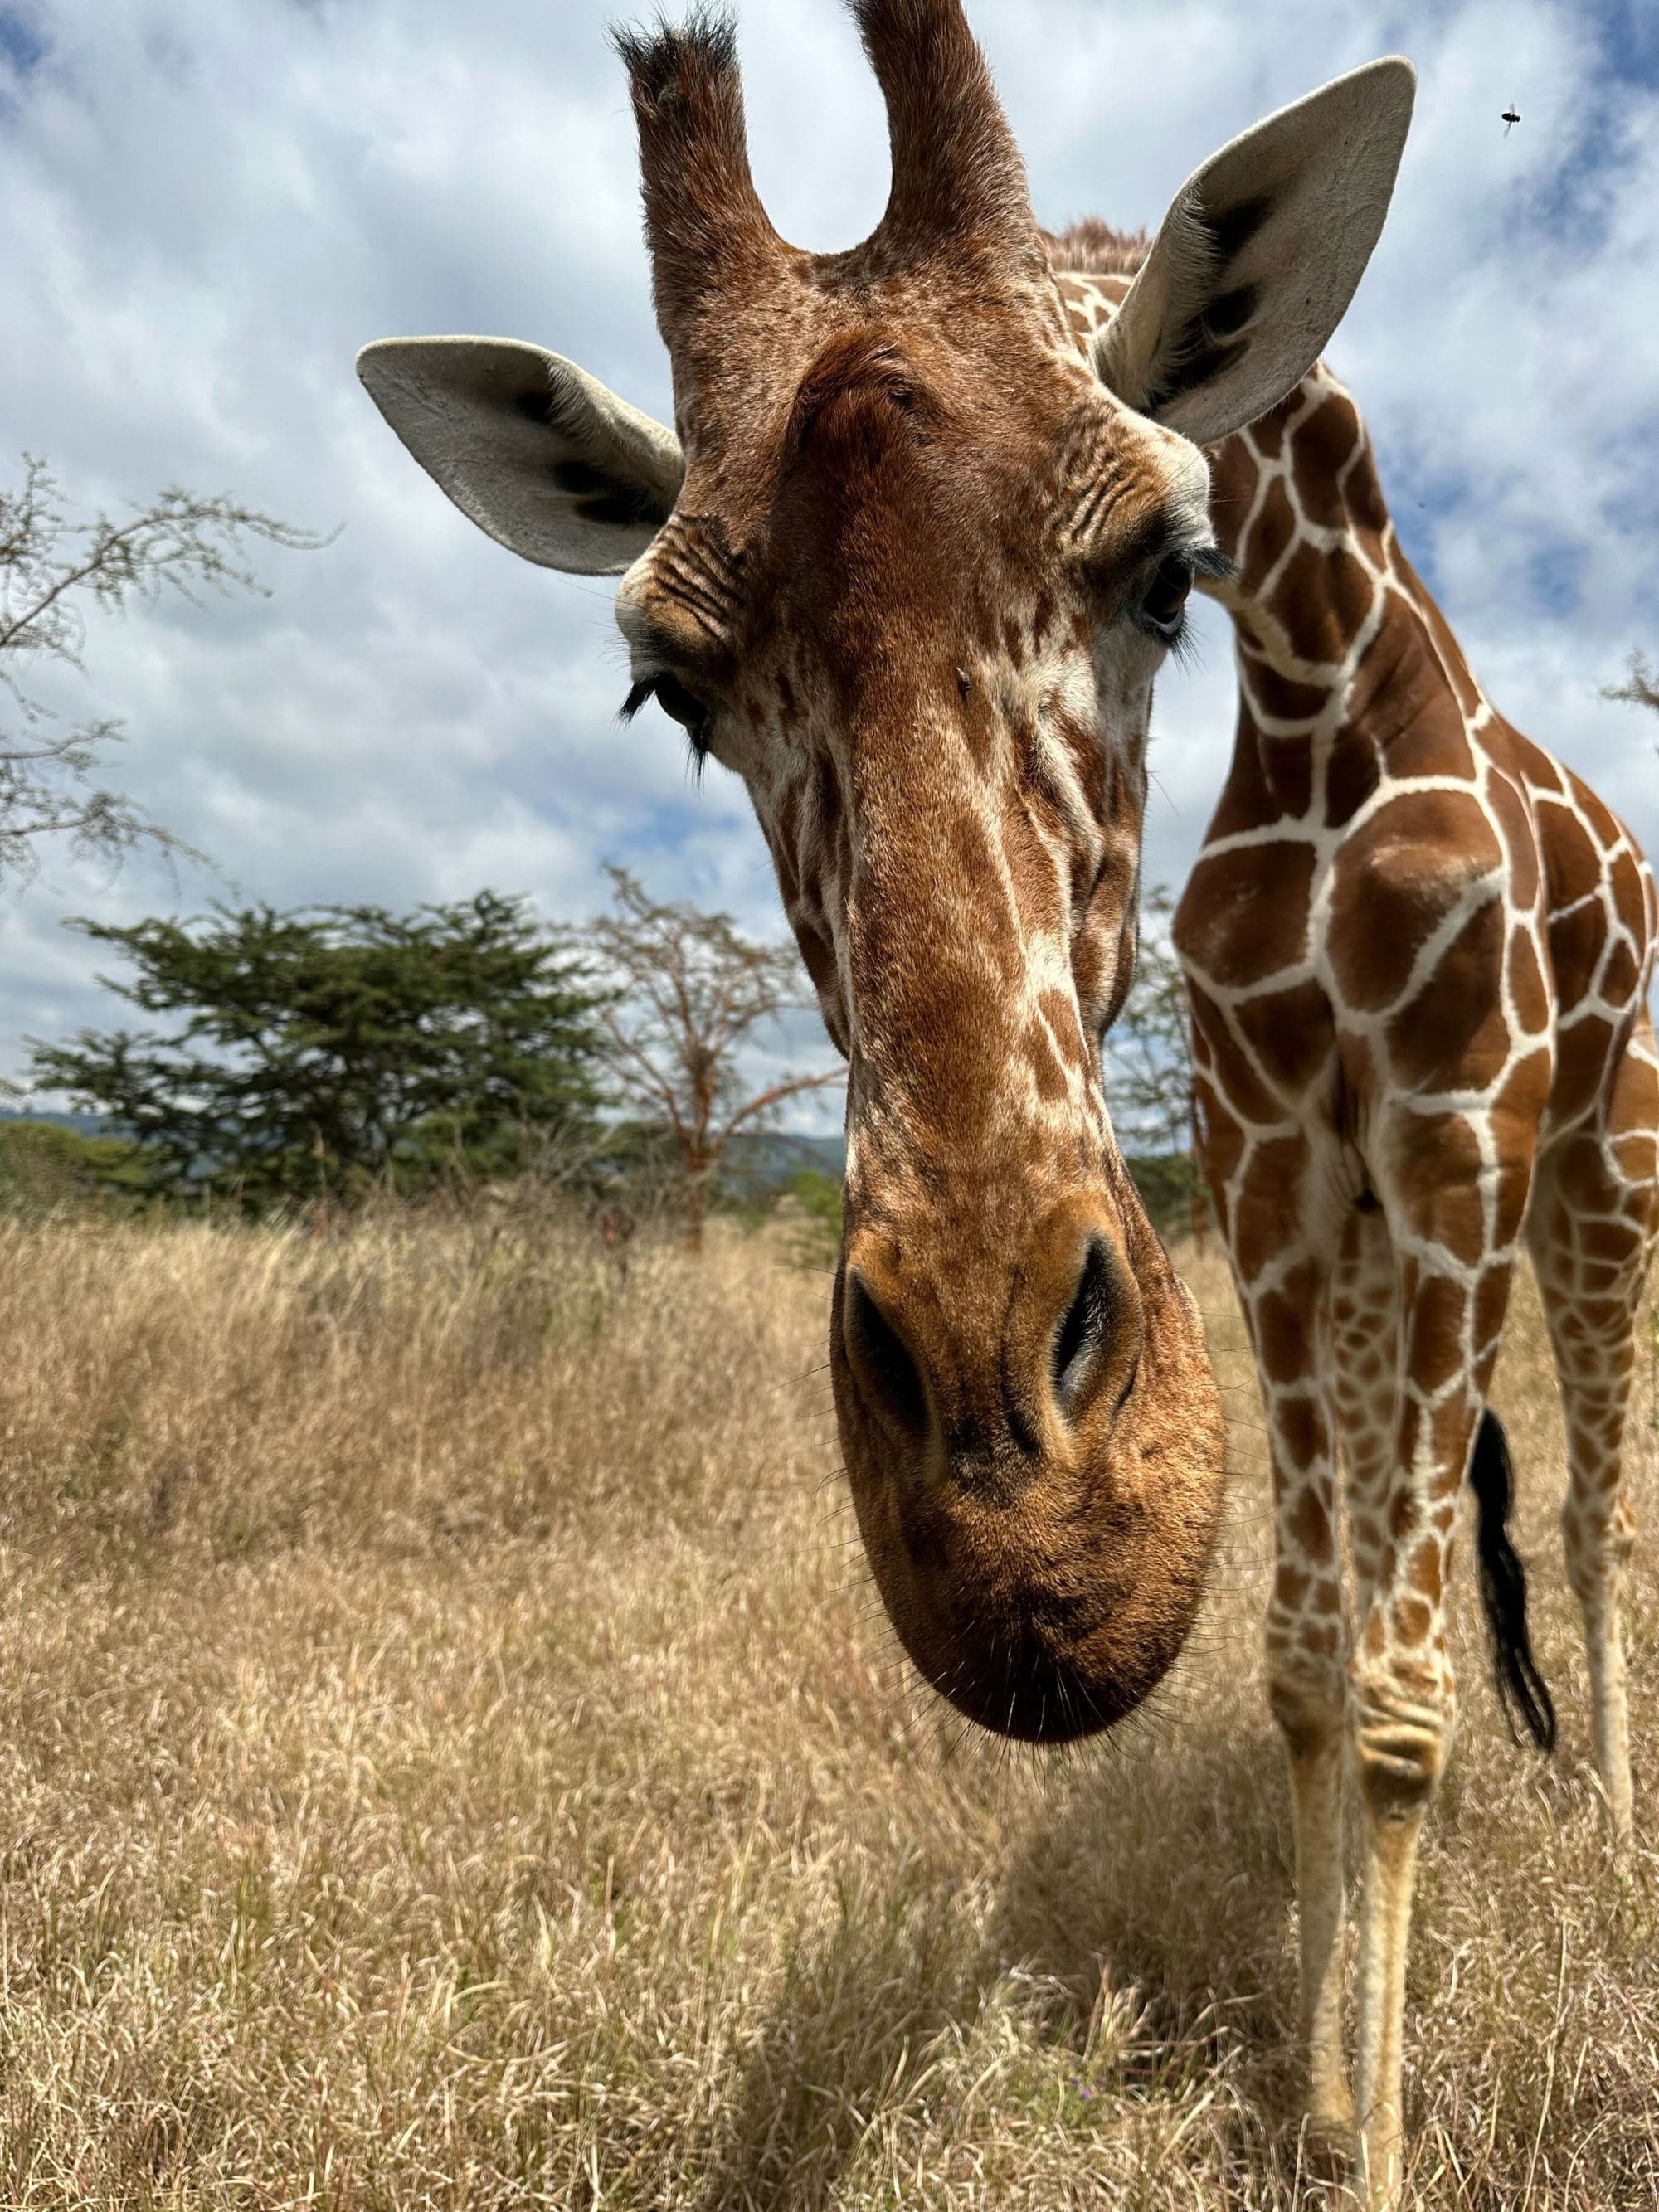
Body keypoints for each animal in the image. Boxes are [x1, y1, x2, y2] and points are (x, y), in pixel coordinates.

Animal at [1051, 245, 1659, 2204]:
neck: (1326, 694)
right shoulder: (1272, 1160)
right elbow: (1311, 1659)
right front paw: (1313, 2090)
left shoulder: (1459, 1130)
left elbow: (1401, 1701)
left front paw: (1381, 2144)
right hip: (1406, 1242)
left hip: (1599, 1171)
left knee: (1592, 1507)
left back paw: (1613, 1817)